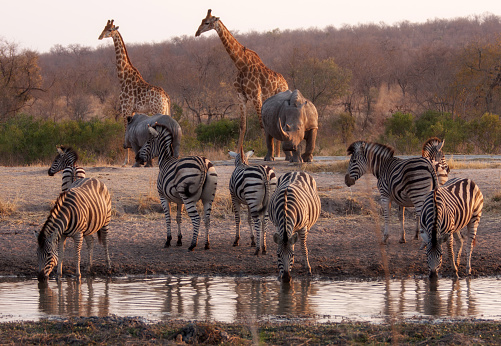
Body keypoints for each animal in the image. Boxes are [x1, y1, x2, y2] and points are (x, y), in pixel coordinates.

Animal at [97, 19, 172, 166]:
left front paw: (126, 161)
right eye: (104, 27)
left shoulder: (125, 109)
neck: (123, 78)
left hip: (158, 110)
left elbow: (126, 130)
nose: (100, 36)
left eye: (110, 30)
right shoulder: (131, 110)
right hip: (164, 110)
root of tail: (166, 97)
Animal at [196, 9, 290, 154]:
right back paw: (279, 153)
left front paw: (268, 154)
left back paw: (278, 154)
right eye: (201, 20)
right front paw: (238, 153)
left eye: (207, 22)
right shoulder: (241, 97)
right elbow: (242, 126)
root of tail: (285, 83)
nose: (197, 32)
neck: (241, 65)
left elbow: (261, 125)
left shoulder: (256, 96)